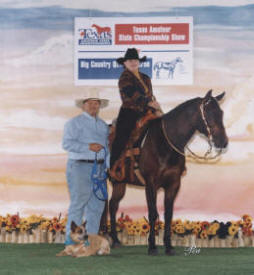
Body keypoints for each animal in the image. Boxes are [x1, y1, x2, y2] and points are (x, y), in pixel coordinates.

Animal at [109, 90, 228, 256]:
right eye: (209, 113)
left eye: (221, 113)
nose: (223, 142)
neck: (165, 143)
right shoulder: (151, 183)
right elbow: (153, 213)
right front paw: (152, 247)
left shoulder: (173, 184)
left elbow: (168, 213)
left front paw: (168, 246)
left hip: (119, 184)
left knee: (113, 205)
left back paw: (115, 240)